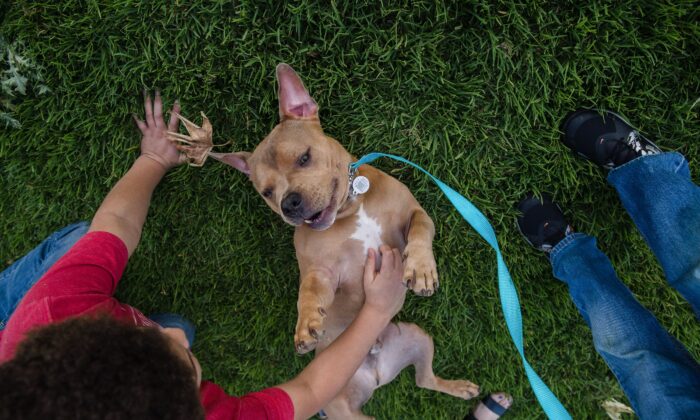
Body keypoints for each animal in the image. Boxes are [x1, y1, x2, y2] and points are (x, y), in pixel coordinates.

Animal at [209, 64, 482, 418]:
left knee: (425, 379)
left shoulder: (415, 212)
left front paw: (421, 269)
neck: (351, 206)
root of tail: (376, 372)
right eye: (266, 192)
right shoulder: (322, 271)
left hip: (418, 336)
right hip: (345, 406)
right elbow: (309, 290)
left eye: (304, 158)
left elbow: (421, 230)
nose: (289, 203)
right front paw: (306, 324)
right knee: (418, 383)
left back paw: (459, 388)